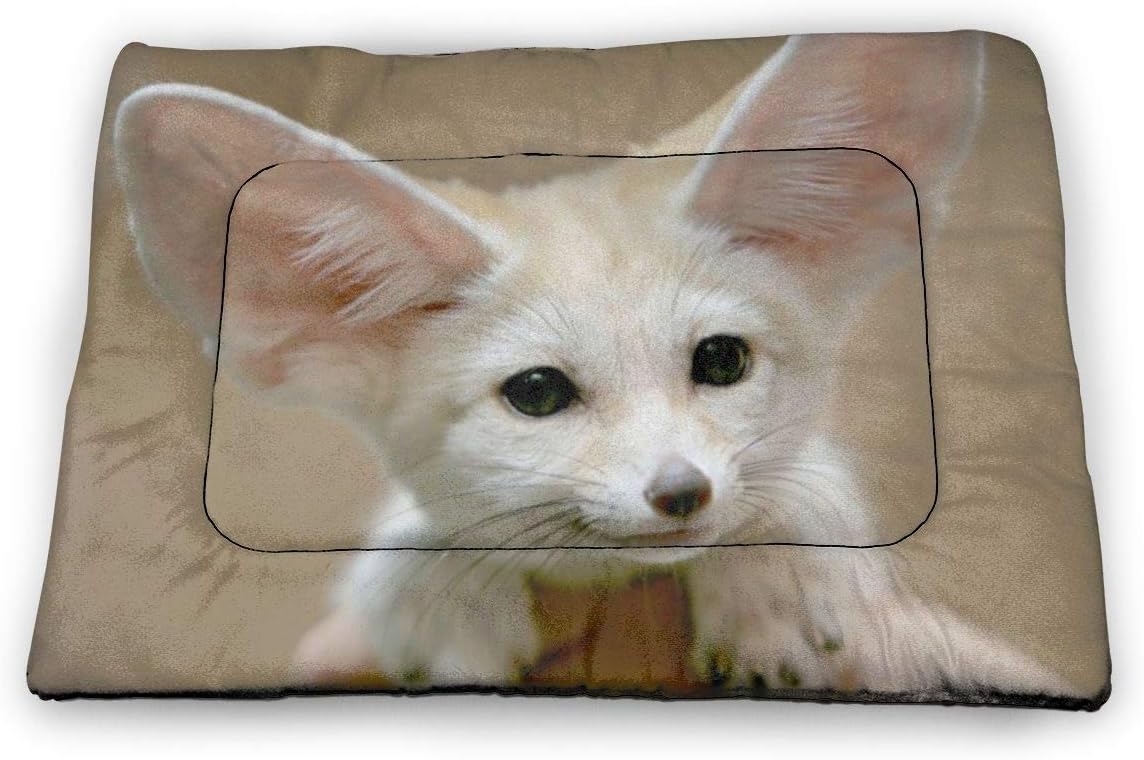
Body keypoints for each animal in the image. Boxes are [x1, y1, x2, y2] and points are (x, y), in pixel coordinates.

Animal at [115, 32, 1067, 696]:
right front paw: (440, 591)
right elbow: (415, 541)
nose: (681, 493)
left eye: (722, 359)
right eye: (537, 393)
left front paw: (777, 586)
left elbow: (800, 491)